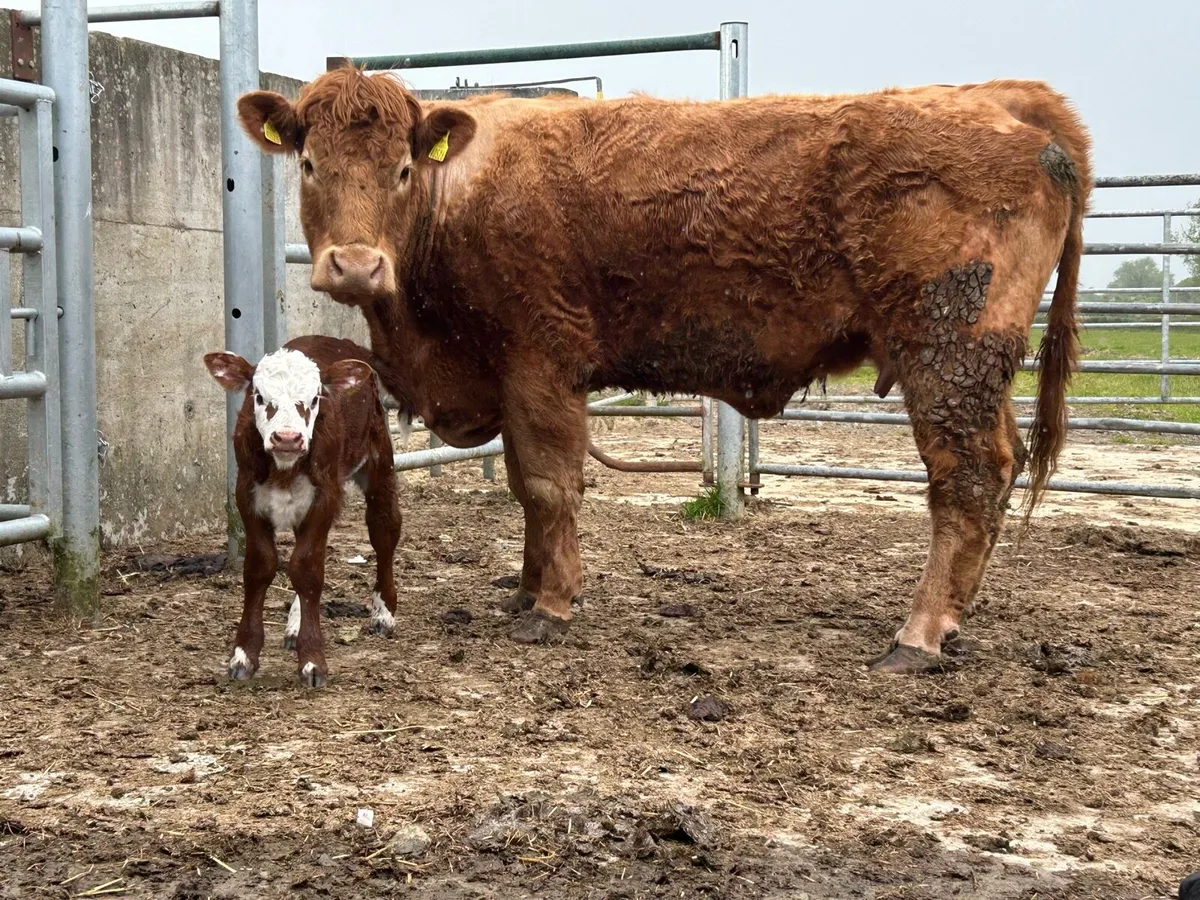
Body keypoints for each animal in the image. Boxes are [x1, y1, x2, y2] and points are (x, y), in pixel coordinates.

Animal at [204, 336, 401, 687]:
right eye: (259, 396)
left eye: (314, 398)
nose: (287, 438)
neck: (284, 469)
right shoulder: (246, 497)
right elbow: (261, 567)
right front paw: (244, 655)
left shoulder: (324, 498)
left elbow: (307, 569)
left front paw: (312, 660)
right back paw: (295, 624)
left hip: (379, 459)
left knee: (384, 530)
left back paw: (383, 612)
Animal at [236, 69, 1091, 674]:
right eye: (307, 163)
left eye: (403, 170)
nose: (355, 264)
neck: (460, 195)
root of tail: (1005, 98)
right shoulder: (511, 380)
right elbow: (523, 485)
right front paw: (526, 587)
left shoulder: (543, 359)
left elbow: (549, 483)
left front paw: (552, 604)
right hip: (974, 370)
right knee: (999, 470)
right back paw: (952, 621)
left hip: (947, 357)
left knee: (968, 477)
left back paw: (918, 634)